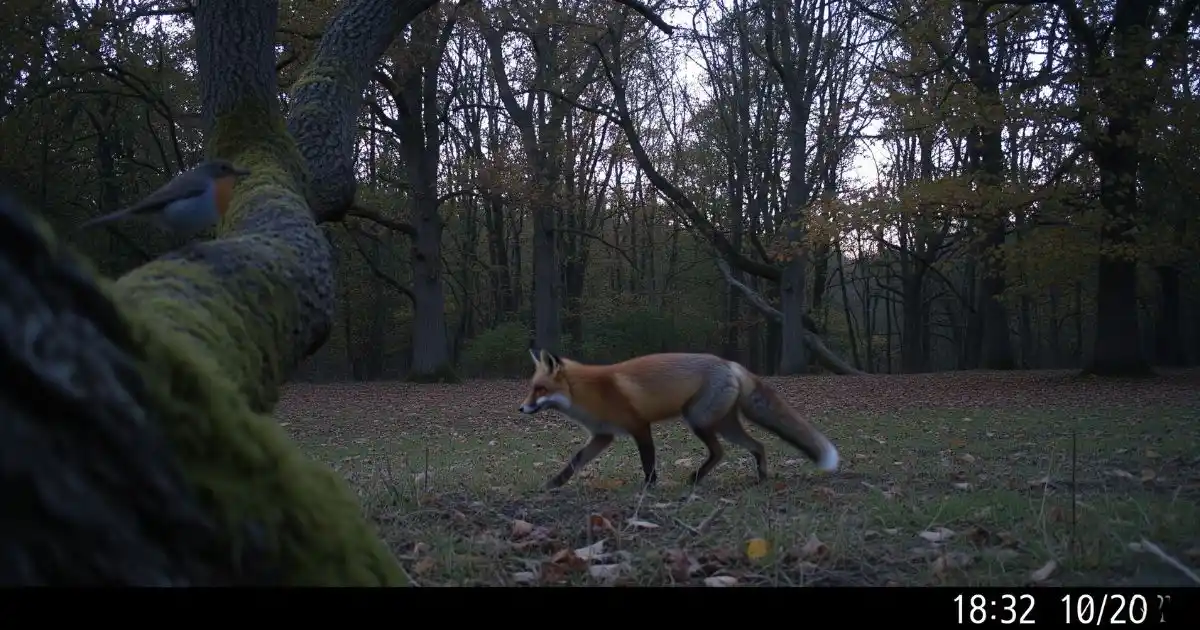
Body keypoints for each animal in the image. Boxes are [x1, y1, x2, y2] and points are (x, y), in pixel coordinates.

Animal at [517, 348, 840, 490]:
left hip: (697, 420)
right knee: (758, 445)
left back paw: (696, 478)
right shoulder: (602, 435)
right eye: (531, 388)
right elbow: (574, 462)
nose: (521, 408)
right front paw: (553, 484)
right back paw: (760, 478)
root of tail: (729, 363)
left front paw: (649, 487)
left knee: (720, 452)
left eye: (540, 389)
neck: (588, 394)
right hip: (724, 425)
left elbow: (648, 462)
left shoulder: (639, 426)